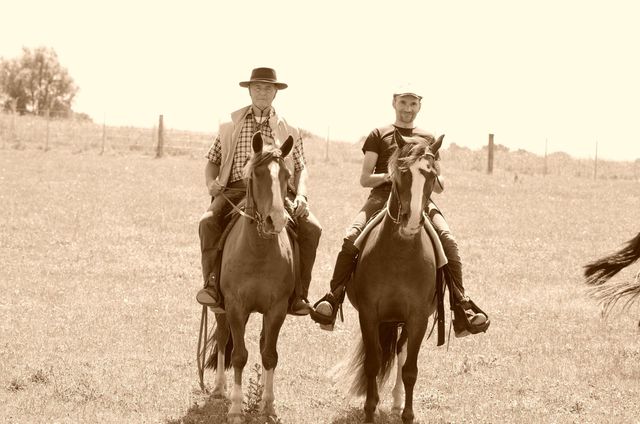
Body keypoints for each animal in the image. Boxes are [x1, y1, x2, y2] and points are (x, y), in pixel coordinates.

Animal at [201, 132, 296, 424]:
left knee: (264, 344)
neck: (258, 251)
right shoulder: (235, 306)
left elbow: (270, 355)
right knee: (223, 339)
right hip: (220, 309)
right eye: (257, 174)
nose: (276, 219)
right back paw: (220, 389)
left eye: (287, 175)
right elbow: (239, 355)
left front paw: (268, 405)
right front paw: (235, 408)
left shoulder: (276, 309)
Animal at [340, 132, 444, 424]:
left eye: (433, 175)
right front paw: (369, 410)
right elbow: (372, 363)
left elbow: (409, 369)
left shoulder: (418, 317)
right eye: (403, 172)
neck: (400, 254)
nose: (412, 221)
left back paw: (397, 403)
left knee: (400, 351)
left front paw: (407, 414)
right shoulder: (369, 313)